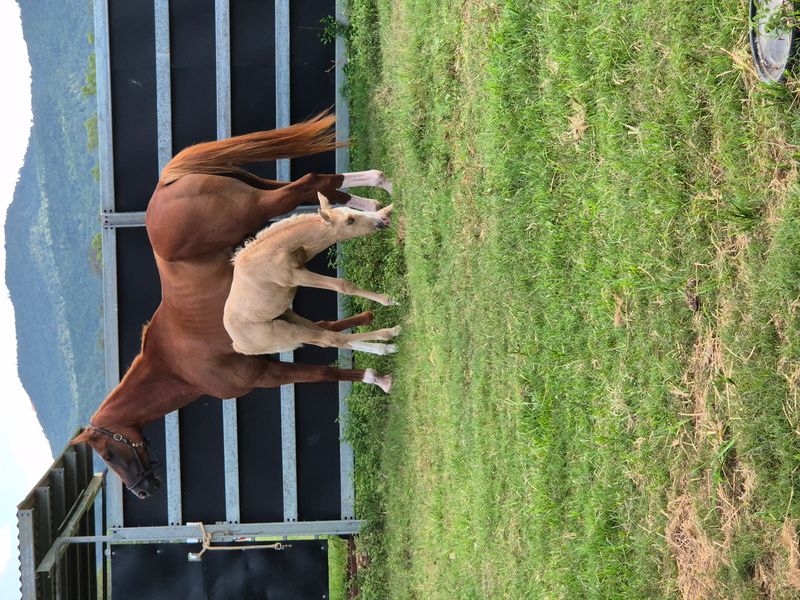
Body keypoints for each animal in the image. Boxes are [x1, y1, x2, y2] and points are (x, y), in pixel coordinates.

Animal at [224, 192, 400, 357]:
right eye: (350, 220)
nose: (382, 220)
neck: (271, 252)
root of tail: (239, 346)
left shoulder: (306, 256)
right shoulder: (296, 276)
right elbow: (343, 285)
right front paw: (391, 300)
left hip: (292, 318)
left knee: (328, 336)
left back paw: (386, 348)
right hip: (288, 332)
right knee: (332, 338)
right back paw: (391, 333)